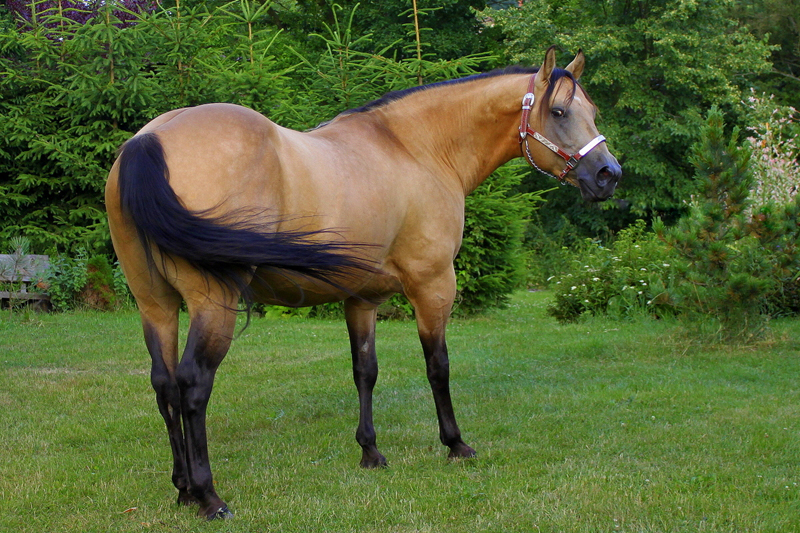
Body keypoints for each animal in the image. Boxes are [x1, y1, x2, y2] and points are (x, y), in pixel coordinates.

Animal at [105, 46, 621, 520]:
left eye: (592, 111)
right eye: (559, 112)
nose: (608, 174)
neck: (415, 149)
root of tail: (148, 140)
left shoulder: (361, 299)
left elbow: (364, 371)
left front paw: (370, 452)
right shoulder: (434, 285)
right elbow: (438, 366)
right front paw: (455, 444)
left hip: (155, 304)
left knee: (164, 385)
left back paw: (181, 489)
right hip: (214, 305)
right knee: (193, 385)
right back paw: (209, 496)